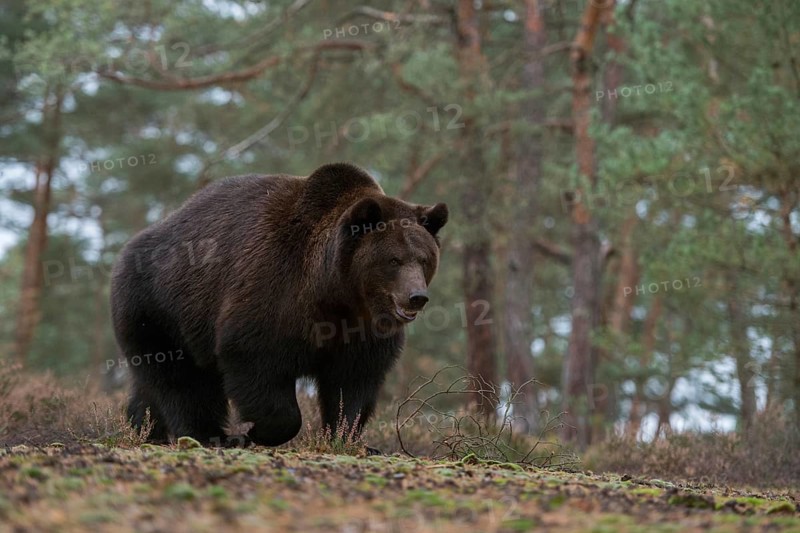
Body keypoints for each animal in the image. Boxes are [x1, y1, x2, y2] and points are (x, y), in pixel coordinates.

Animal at [110, 162, 448, 447]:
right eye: (394, 260)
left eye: (423, 259)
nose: (416, 296)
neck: (335, 292)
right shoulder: (274, 290)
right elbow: (256, 361)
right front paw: (254, 431)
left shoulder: (362, 331)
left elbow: (353, 382)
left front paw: (346, 435)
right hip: (160, 305)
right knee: (182, 379)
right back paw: (207, 435)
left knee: (151, 385)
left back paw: (145, 428)